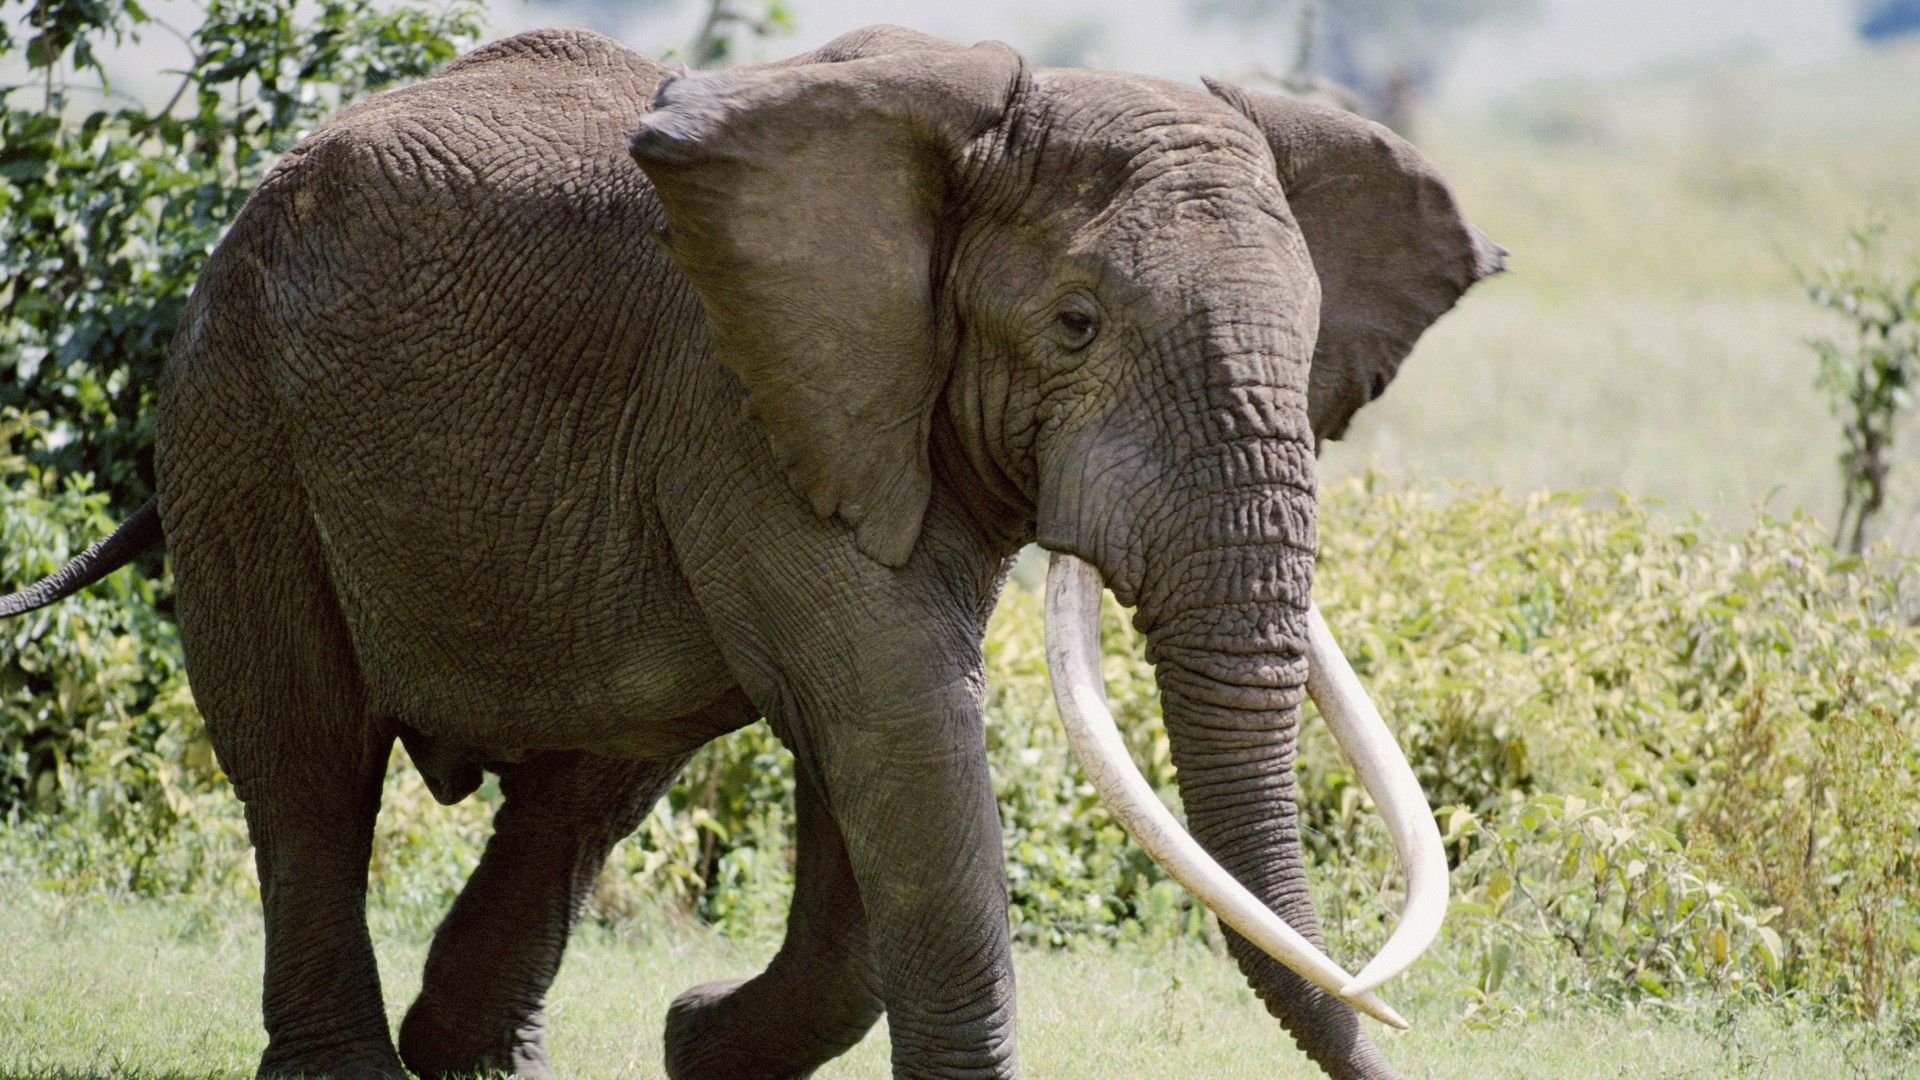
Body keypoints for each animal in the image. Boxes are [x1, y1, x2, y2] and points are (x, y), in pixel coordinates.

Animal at [0, 25, 1497, 1076]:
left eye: (1307, 347)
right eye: (1076, 325)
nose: (1404, 1052)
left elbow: (877, 764)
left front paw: (694, 1042)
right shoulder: (747, 402)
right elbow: (901, 728)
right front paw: (702, 1037)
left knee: (588, 785)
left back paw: (474, 1060)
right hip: (239, 423)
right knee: (308, 762)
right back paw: (355, 1071)